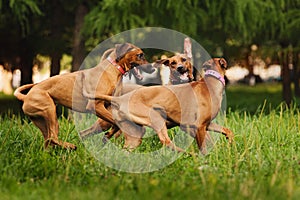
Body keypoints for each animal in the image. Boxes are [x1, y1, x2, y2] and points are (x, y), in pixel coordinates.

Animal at [13, 43, 152, 150]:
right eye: (140, 55)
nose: (153, 67)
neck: (113, 69)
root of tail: (26, 96)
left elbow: (115, 124)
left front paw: (109, 135)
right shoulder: (95, 106)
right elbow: (116, 123)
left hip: (42, 120)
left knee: (49, 140)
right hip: (49, 111)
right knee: (52, 137)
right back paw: (70, 146)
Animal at [84, 57, 234, 153]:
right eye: (173, 63)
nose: (180, 68)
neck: (210, 83)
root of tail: (120, 98)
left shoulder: (206, 124)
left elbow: (227, 131)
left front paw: (230, 143)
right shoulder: (197, 126)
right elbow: (204, 146)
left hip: (132, 132)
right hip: (153, 119)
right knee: (165, 141)